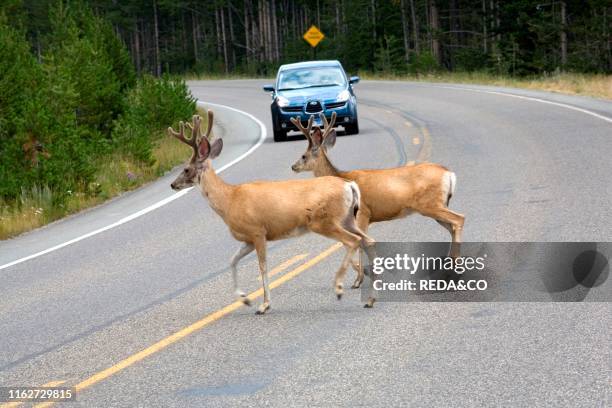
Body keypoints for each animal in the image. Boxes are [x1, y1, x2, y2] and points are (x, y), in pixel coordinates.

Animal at [169, 110, 378, 314]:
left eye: (186, 169)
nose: (172, 184)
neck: (230, 200)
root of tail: (349, 185)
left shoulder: (257, 231)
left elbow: (263, 267)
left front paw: (264, 305)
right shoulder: (247, 239)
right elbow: (232, 261)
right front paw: (244, 299)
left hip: (324, 221)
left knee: (353, 241)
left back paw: (340, 288)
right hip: (347, 219)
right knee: (367, 241)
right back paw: (370, 299)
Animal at [290, 113, 464, 288]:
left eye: (303, 156)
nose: (293, 166)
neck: (342, 178)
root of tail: (449, 173)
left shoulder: (363, 213)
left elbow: (362, 243)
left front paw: (359, 279)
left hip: (430, 205)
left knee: (459, 219)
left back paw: (454, 269)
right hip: (437, 206)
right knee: (452, 227)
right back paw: (449, 267)